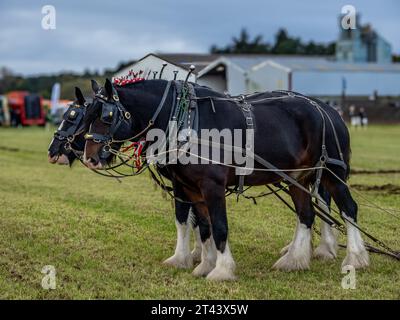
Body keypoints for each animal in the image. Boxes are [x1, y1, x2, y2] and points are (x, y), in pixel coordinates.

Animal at [83, 79, 370, 282]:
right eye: (86, 115)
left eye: (107, 116)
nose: (90, 158)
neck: (185, 120)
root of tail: (329, 110)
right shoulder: (188, 187)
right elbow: (201, 226)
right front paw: (201, 263)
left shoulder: (212, 186)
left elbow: (219, 226)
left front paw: (221, 270)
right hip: (296, 177)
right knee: (306, 214)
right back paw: (294, 260)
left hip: (331, 173)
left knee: (347, 209)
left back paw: (354, 258)